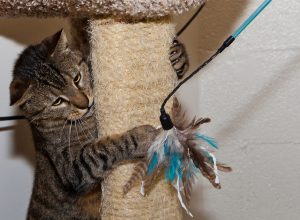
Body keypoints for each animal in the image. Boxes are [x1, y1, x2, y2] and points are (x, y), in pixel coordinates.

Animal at [9, 29, 159, 220]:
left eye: (77, 78)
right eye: (57, 101)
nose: (85, 103)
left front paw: (177, 55)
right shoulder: (74, 170)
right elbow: (103, 149)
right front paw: (141, 138)